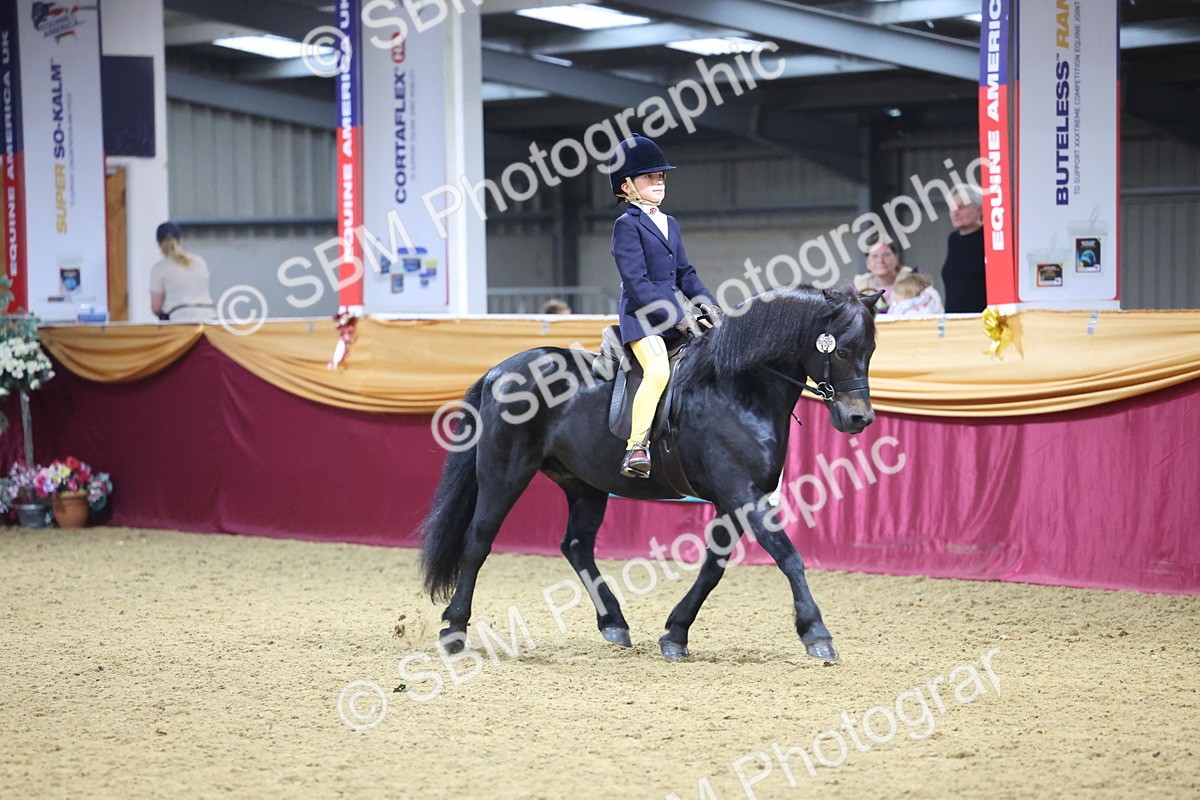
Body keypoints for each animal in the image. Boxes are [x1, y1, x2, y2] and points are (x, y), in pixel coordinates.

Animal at [417, 286, 879, 661]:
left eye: (870, 350)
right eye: (839, 350)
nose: (859, 419)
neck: (737, 387)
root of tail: (500, 369)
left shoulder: (735, 501)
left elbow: (714, 567)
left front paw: (676, 633)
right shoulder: (742, 495)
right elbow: (787, 555)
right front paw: (816, 632)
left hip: (585, 486)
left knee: (576, 546)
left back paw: (614, 624)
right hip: (504, 474)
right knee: (478, 541)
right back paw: (454, 630)